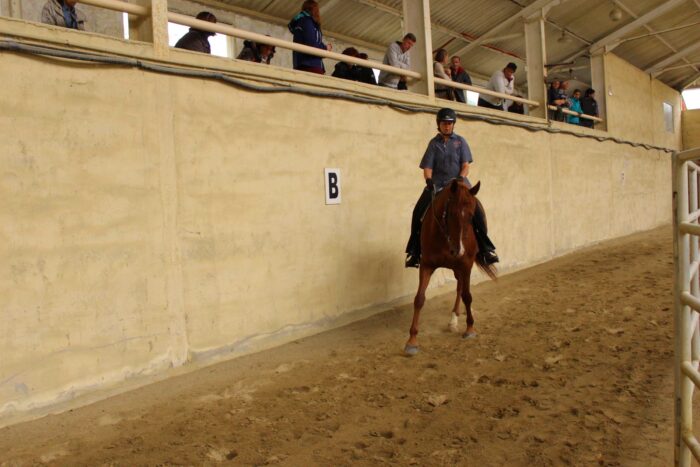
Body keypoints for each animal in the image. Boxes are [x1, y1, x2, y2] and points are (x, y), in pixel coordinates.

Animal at [404, 179, 498, 354]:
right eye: (451, 214)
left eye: (471, 216)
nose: (458, 250)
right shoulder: (426, 265)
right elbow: (419, 299)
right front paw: (412, 341)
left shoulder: (466, 264)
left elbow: (467, 296)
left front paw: (470, 329)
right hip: (455, 269)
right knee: (459, 286)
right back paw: (454, 318)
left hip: (461, 267)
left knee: (461, 289)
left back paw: (456, 318)